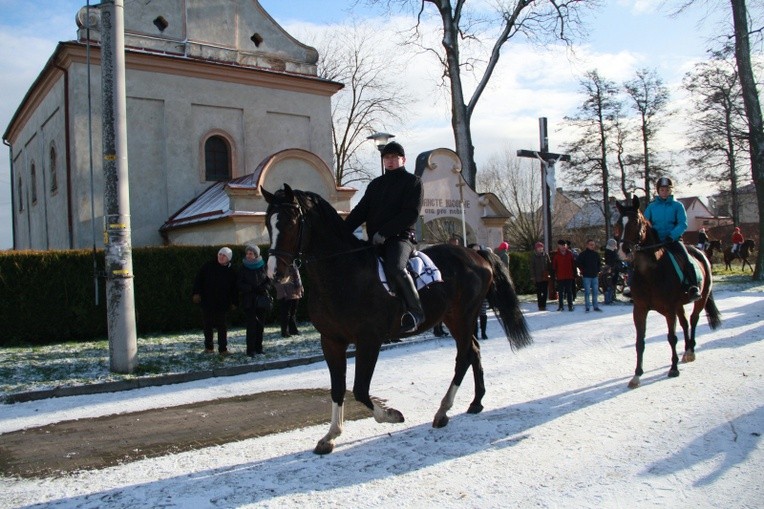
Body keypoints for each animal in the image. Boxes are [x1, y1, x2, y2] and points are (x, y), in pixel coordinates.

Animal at [262, 185, 532, 454]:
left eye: (291, 222)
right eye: (268, 223)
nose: (275, 273)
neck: (344, 272)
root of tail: (475, 254)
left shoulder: (369, 340)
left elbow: (359, 390)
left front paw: (391, 415)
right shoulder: (331, 341)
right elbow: (338, 388)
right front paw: (330, 435)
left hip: (464, 316)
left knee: (464, 356)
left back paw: (443, 411)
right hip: (454, 318)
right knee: (474, 350)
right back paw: (476, 402)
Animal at [616, 196, 724, 386]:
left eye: (636, 222)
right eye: (618, 224)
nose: (624, 251)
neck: (651, 273)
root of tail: (701, 253)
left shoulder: (669, 310)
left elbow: (672, 337)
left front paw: (673, 368)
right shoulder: (640, 310)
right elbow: (639, 342)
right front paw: (637, 375)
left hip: (700, 298)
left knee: (693, 320)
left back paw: (690, 352)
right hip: (679, 305)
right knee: (685, 323)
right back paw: (686, 351)